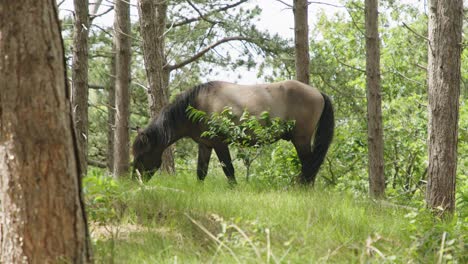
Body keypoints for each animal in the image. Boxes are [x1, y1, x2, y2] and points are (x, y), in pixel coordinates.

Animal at [133, 79, 334, 185]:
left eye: (141, 156)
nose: (133, 180)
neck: (199, 104)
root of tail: (318, 92)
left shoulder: (220, 144)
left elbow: (228, 170)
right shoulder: (205, 145)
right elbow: (201, 172)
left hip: (301, 139)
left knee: (309, 165)